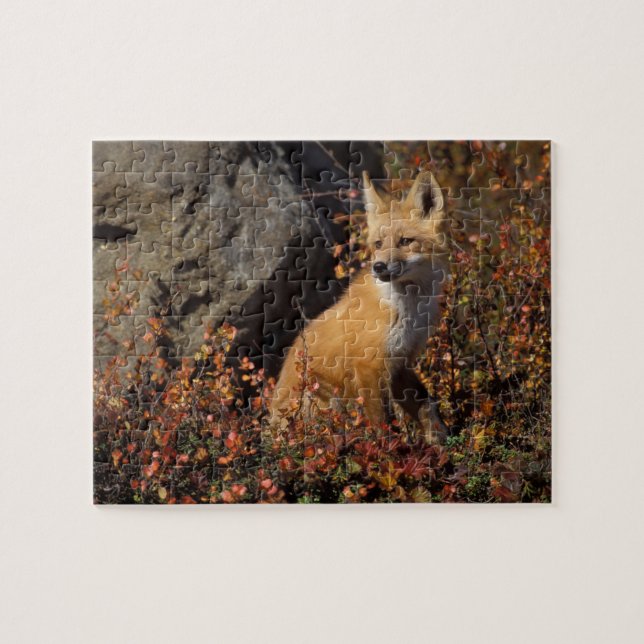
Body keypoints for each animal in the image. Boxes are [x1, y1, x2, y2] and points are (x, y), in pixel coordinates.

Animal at [270, 170, 450, 443]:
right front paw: (392, 451)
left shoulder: (401, 362)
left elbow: (426, 406)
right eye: (378, 244)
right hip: (323, 396)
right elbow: (383, 424)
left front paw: (442, 443)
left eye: (405, 241)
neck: (407, 309)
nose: (379, 267)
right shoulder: (368, 366)